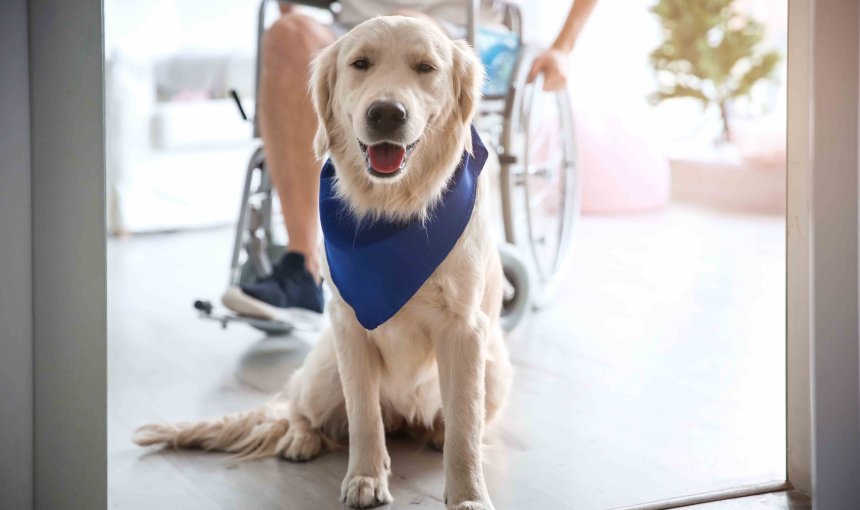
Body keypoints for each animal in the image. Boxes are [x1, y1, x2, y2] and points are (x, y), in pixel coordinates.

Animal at [134, 15, 510, 510]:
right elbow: (364, 414)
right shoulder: (349, 324)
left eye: (426, 67)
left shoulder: (466, 329)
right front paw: (366, 476)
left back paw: (433, 433)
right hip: (325, 373)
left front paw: (468, 496)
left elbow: (465, 426)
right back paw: (301, 439)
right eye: (361, 63)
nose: (385, 113)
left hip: (495, 369)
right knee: (298, 408)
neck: (393, 210)